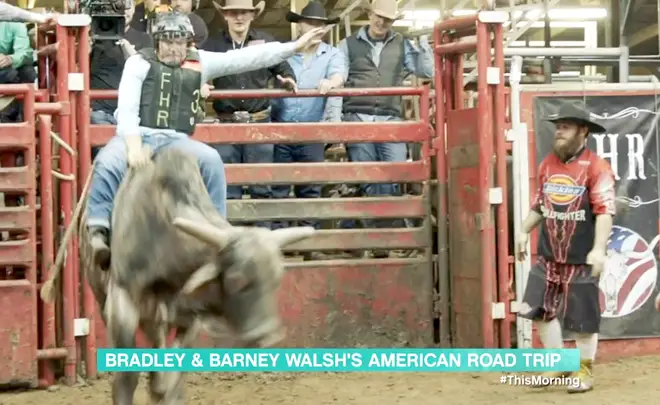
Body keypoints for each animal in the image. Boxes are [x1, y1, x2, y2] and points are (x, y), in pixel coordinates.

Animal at [39, 148, 318, 404]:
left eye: (276, 280)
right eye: (236, 280)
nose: (267, 337)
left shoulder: (191, 317)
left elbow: (174, 373)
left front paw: (164, 389)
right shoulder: (121, 304)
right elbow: (127, 376)